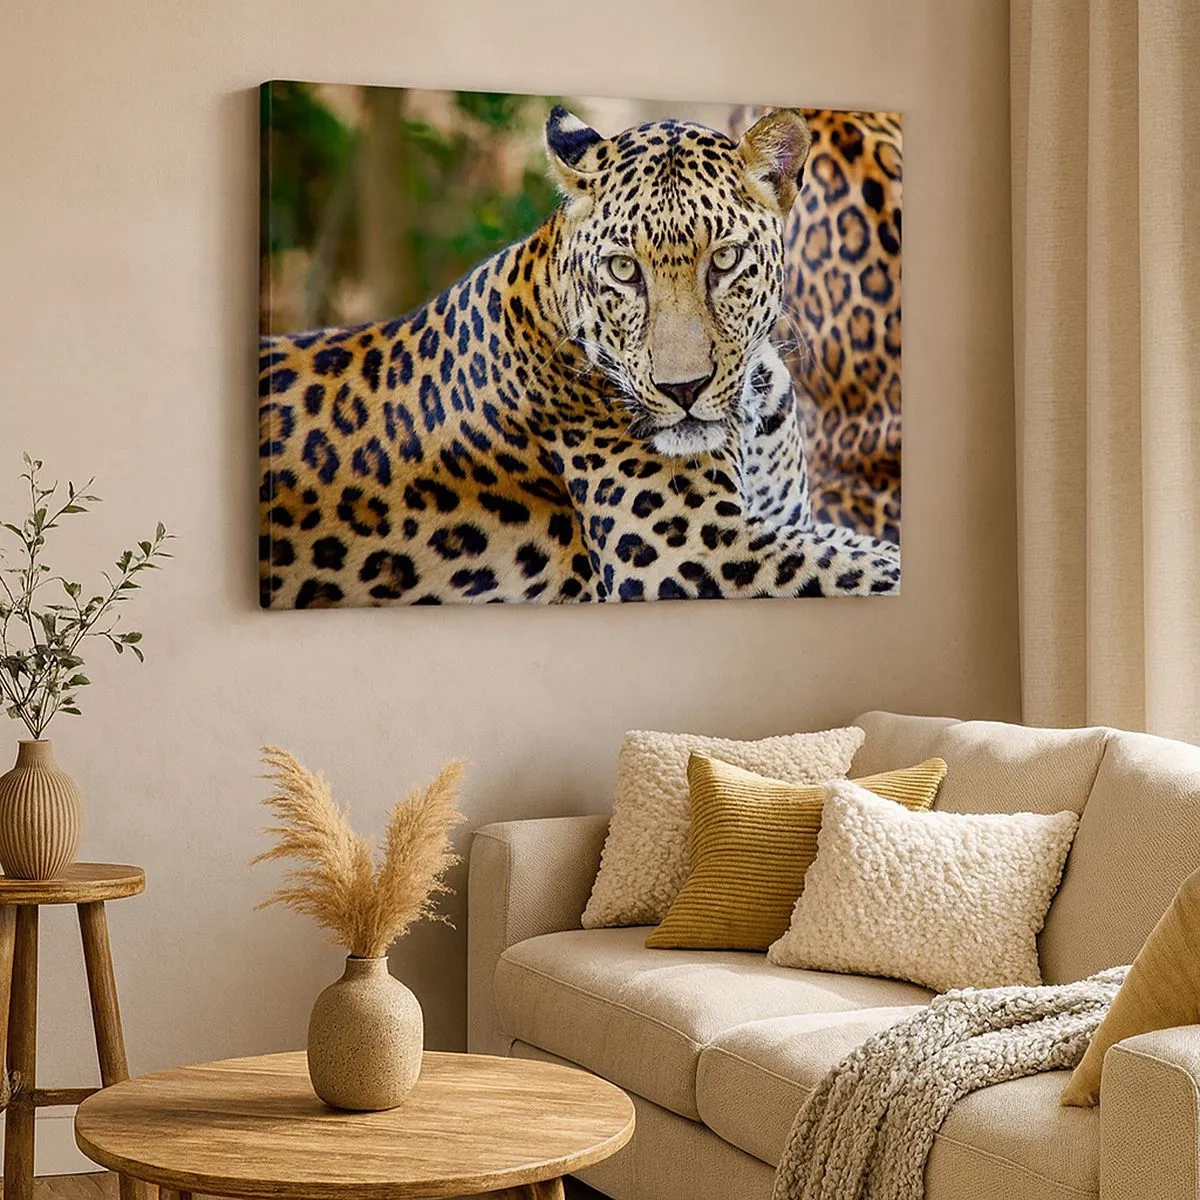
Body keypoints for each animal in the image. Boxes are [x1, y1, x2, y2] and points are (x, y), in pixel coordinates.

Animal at [258, 106, 901, 607]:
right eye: (623, 269)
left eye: (724, 260)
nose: (683, 390)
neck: (751, 413)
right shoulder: (697, 551)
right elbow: (877, 570)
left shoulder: (790, 522)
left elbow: (879, 549)